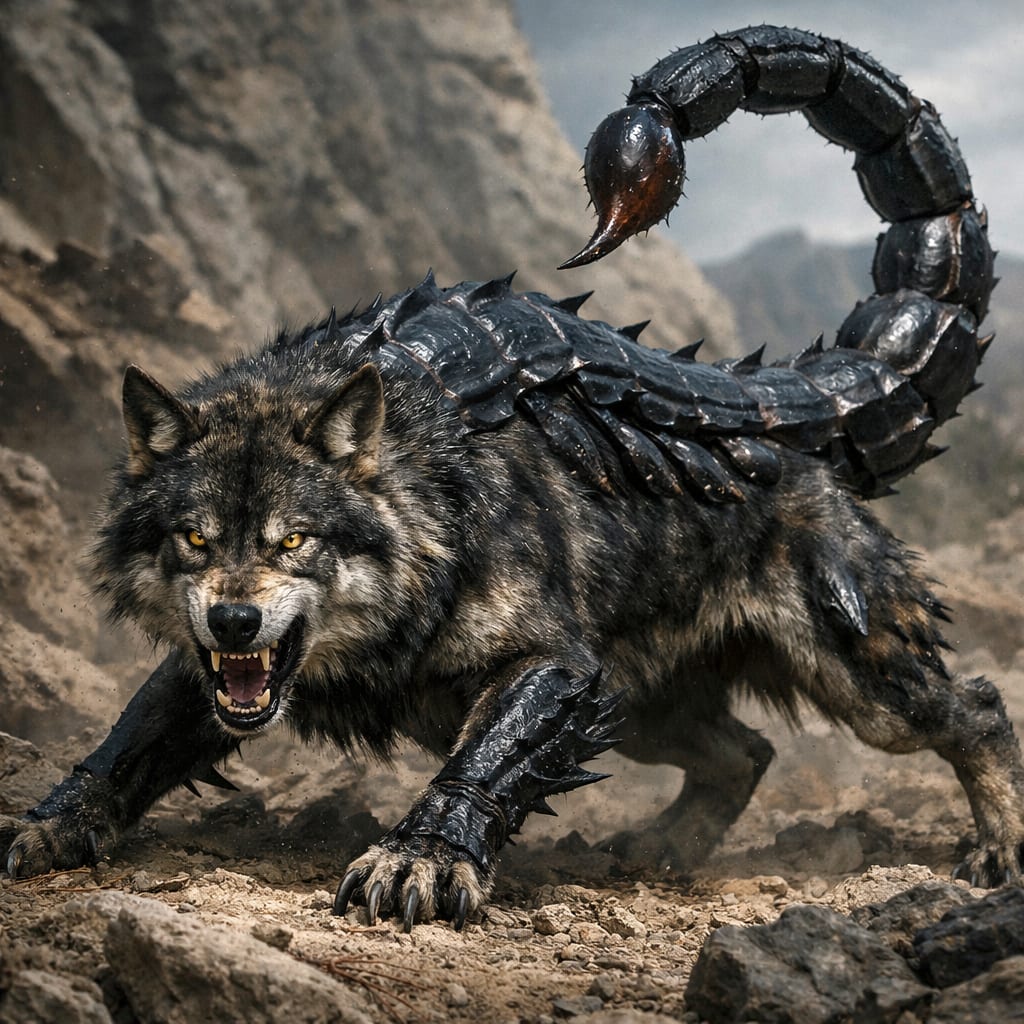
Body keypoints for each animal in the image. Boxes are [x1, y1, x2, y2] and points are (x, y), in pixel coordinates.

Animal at [4, 26, 1024, 931]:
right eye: (195, 537)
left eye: (296, 538)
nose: (236, 621)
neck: (418, 477)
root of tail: (780, 409)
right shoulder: (211, 669)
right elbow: (133, 738)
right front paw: (56, 822)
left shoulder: (558, 665)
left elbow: (484, 764)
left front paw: (420, 858)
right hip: (649, 701)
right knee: (747, 750)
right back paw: (663, 849)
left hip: (849, 663)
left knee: (972, 709)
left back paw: (999, 851)